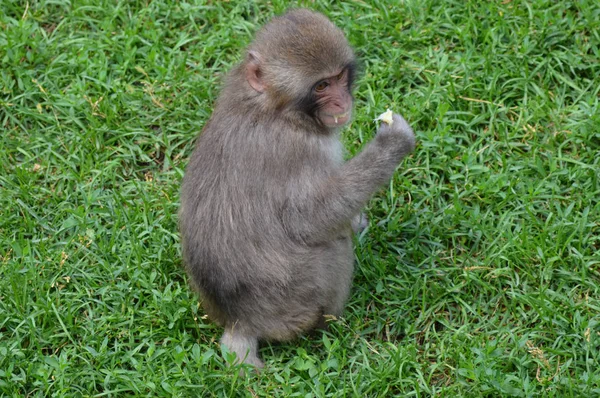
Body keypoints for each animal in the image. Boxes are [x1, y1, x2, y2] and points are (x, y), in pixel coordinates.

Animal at [177, 8, 412, 370]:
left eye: (340, 77)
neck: (272, 108)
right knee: (332, 244)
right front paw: (392, 143)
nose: (343, 101)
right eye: (322, 85)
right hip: (299, 302)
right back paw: (336, 324)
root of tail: (240, 322)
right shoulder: (300, 149)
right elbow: (307, 221)